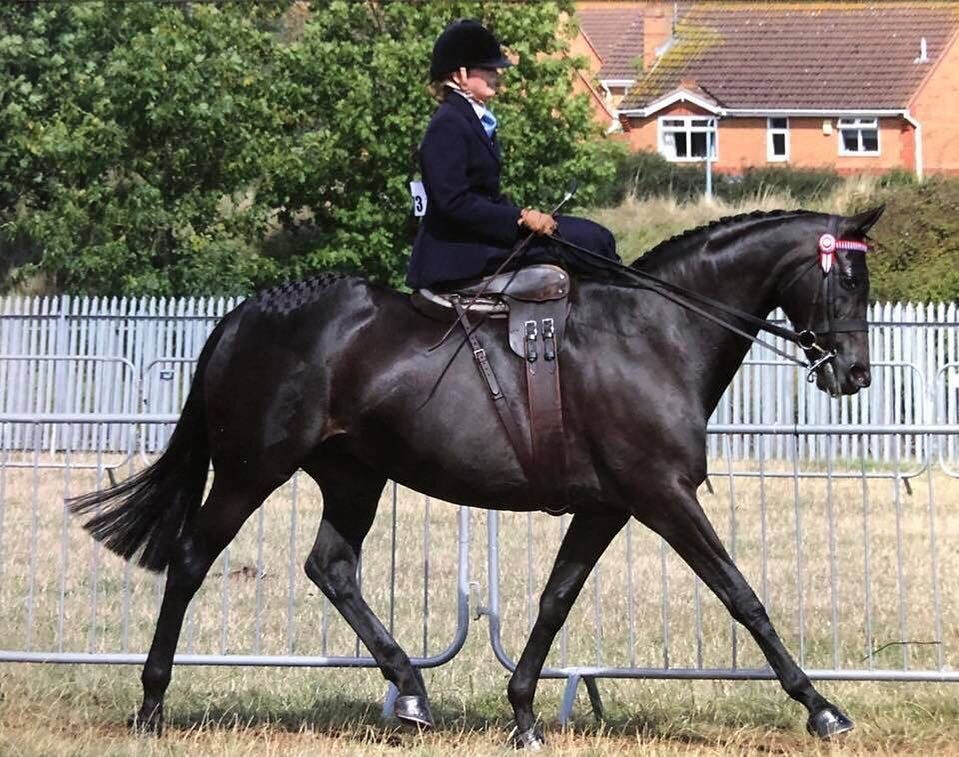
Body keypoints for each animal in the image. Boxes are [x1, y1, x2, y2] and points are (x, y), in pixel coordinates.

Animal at [69, 205, 884, 744]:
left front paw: (522, 710)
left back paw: (410, 691)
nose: (855, 375)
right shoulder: (663, 496)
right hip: (250, 470)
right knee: (191, 559)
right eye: (847, 279)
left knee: (331, 567)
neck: (653, 333)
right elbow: (741, 596)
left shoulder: (607, 506)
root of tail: (247, 312)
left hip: (353, 476)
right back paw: (151, 705)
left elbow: (555, 601)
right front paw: (821, 707)